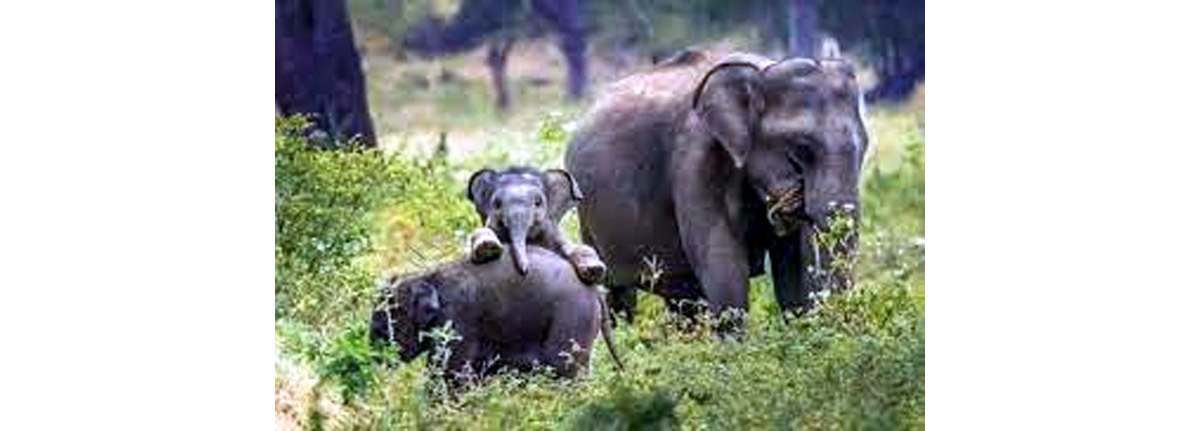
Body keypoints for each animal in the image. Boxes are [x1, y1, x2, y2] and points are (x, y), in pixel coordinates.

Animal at [370, 244, 622, 382]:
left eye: (382, 327)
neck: (427, 275)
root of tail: (595, 289)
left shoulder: (457, 319)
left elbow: (450, 373)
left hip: (573, 316)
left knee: (565, 369)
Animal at [564, 49, 869, 326]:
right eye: (801, 148)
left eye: (865, 147)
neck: (763, 72)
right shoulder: (697, 156)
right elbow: (722, 260)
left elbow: (791, 271)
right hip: (587, 215)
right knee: (618, 290)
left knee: (682, 298)